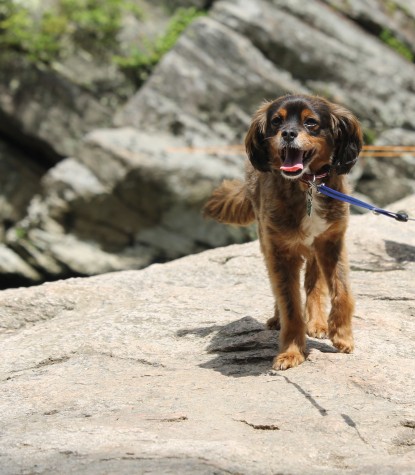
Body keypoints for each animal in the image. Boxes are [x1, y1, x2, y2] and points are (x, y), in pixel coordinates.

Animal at [205, 94, 364, 372]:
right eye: (276, 121)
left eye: (311, 122)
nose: (288, 133)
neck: (308, 185)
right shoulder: (280, 250)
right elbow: (290, 304)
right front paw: (291, 352)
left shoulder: (331, 242)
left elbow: (342, 292)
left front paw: (342, 335)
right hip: (267, 241)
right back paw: (278, 319)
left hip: (314, 251)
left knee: (313, 284)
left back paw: (317, 322)